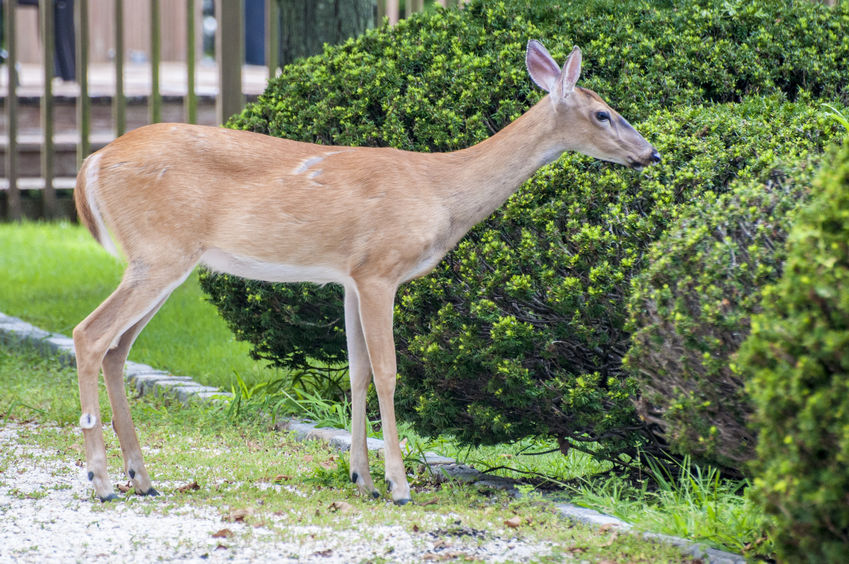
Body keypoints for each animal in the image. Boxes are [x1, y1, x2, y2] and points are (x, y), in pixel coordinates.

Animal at [72, 40, 659, 505]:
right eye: (603, 114)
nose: (650, 154)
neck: (440, 191)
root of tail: (91, 164)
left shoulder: (349, 277)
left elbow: (356, 372)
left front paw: (363, 479)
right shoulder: (380, 268)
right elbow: (388, 371)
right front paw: (398, 486)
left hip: (161, 260)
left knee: (117, 349)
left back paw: (142, 478)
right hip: (160, 252)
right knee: (89, 334)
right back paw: (102, 481)